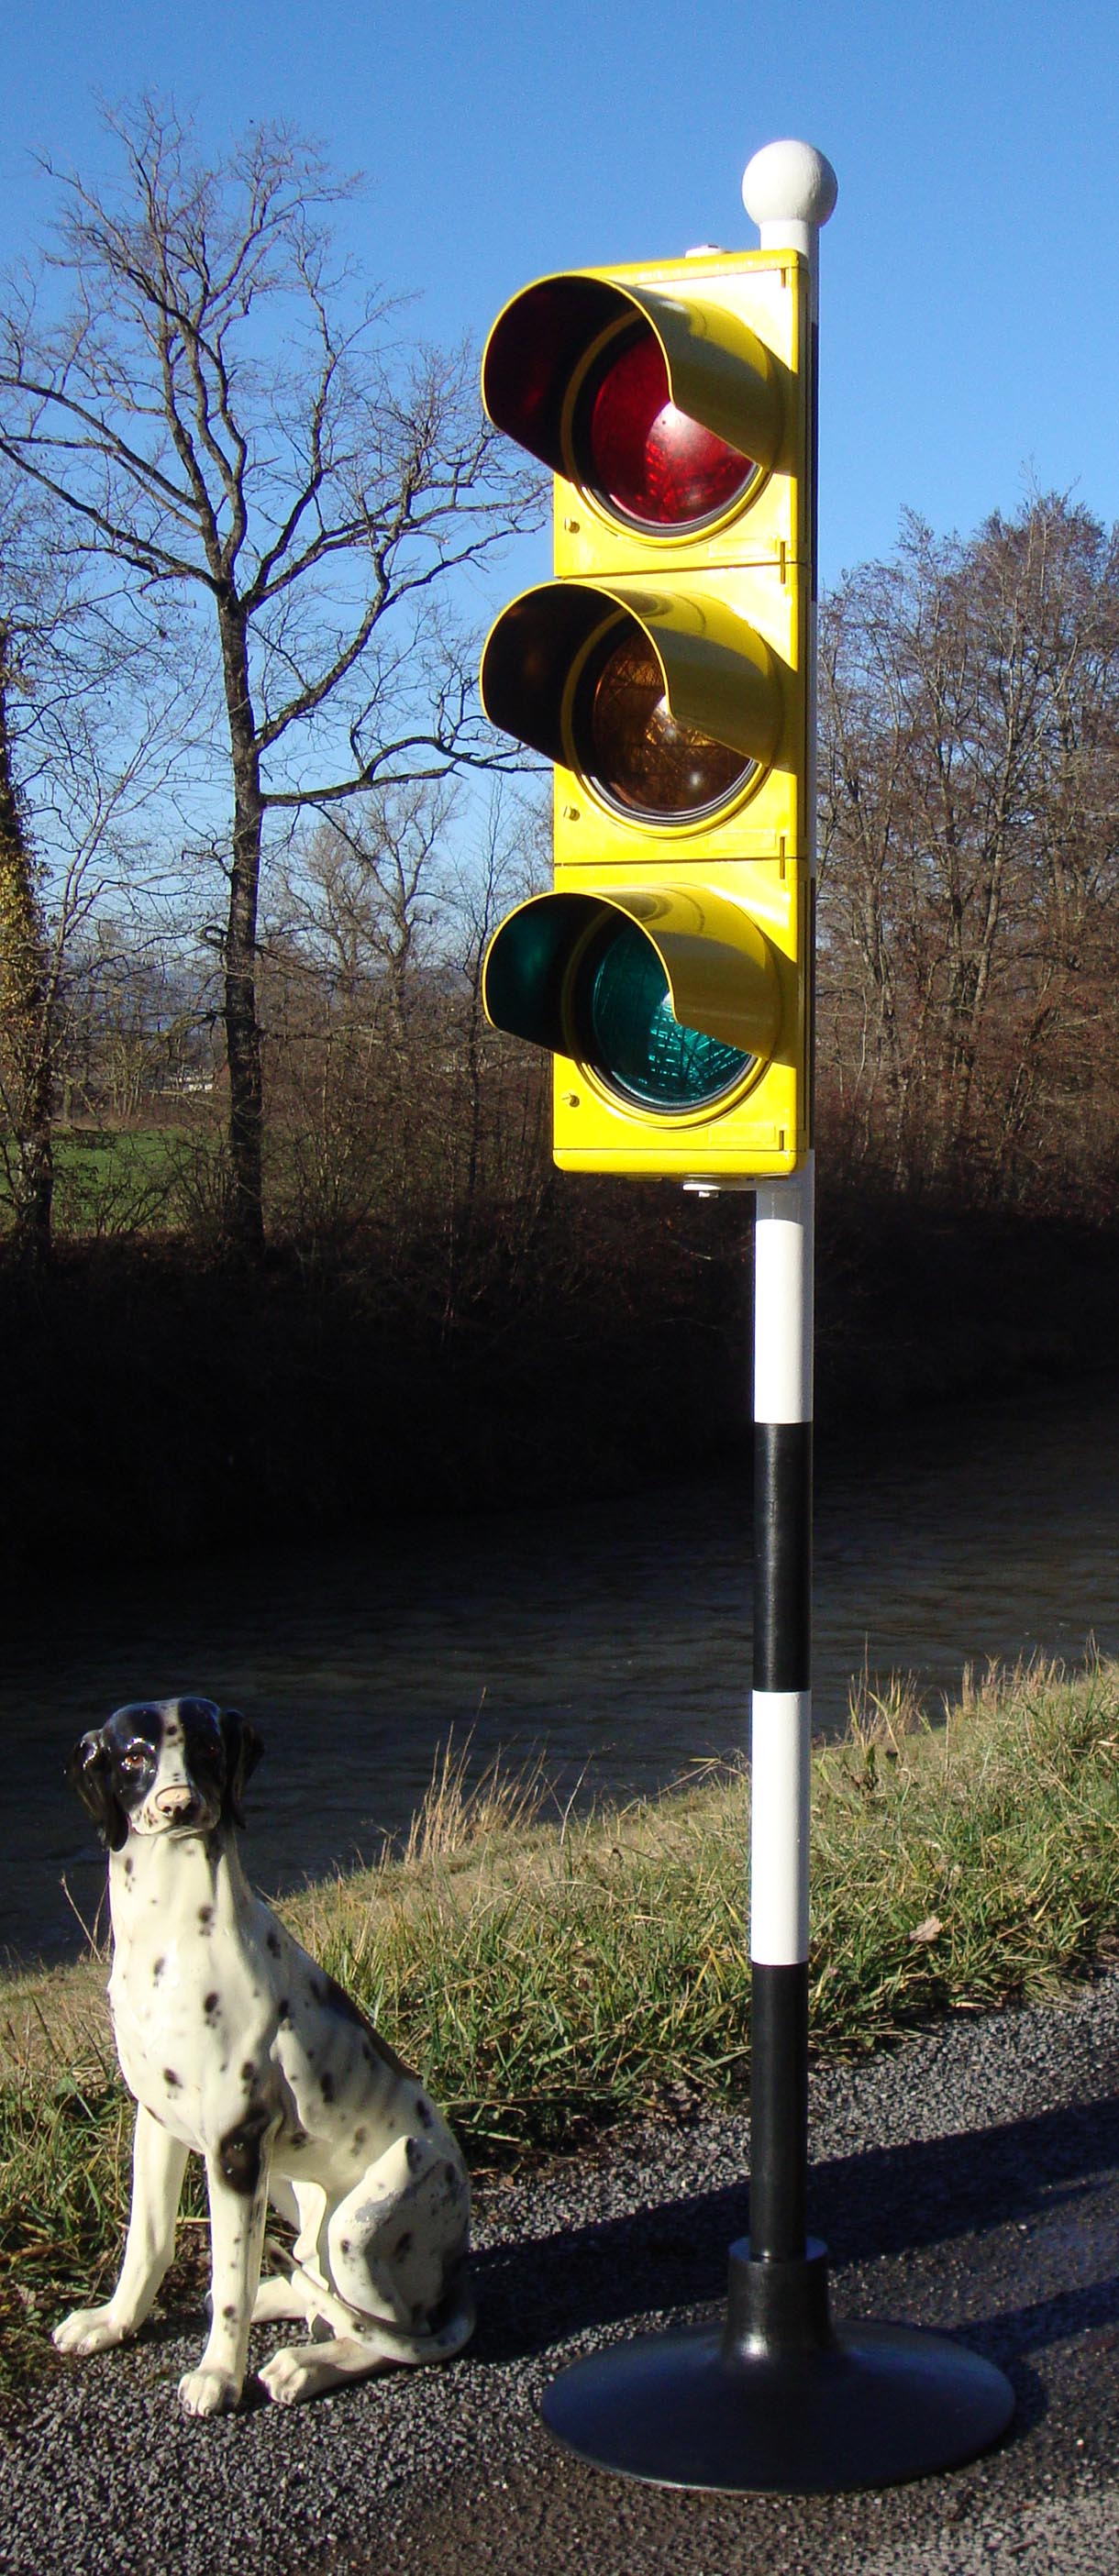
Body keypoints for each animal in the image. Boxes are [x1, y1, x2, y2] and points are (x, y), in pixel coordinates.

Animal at [53, 1699, 471, 2400]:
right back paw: (285, 2298)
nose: (177, 1803)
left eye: (207, 1750)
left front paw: (219, 2374)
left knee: (392, 2334)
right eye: (134, 1756)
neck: (171, 1938)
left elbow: (228, 2279)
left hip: (364, 2216)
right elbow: (148, 2241)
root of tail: (455, 2279)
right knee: (312, 2280)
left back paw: (308, 2363)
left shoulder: (236, 2145)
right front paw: (113, 2322)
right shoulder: (157, 2122)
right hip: (291, 2188)